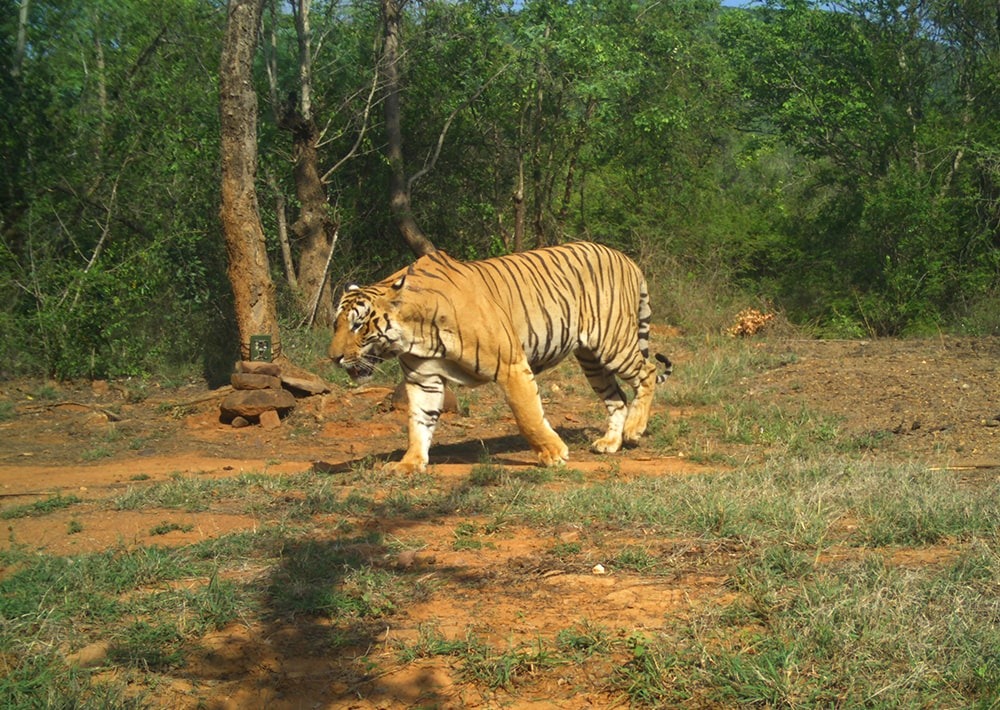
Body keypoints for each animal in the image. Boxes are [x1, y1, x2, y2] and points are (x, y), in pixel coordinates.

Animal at [330, 242, 672, 476]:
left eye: (358, 325)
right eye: (336, 324)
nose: (333, 358)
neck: (415, 335)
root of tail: (625, 258)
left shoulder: (510, 366)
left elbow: (528, 415)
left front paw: (554, 454)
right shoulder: (423, 380)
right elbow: (418, 424)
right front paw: (409, 464)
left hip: (613, 343)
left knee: (648, 372)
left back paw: (634, 429)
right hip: (591, 359)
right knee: (617, 398)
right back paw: (610, 442)